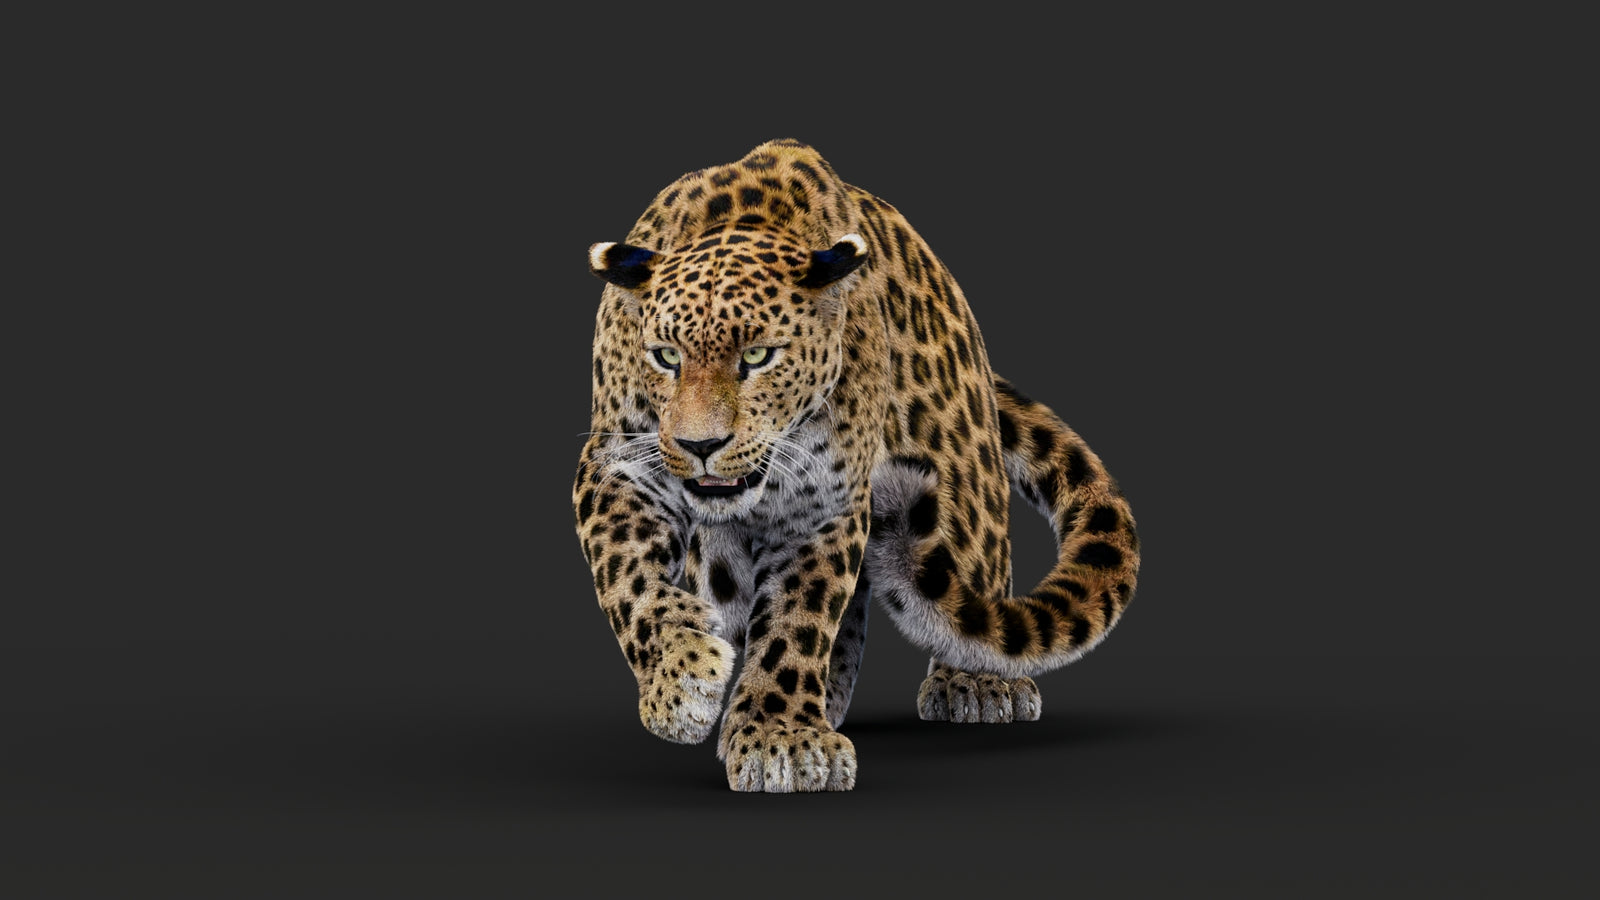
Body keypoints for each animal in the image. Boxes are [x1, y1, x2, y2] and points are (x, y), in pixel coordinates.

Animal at [574, 139, 1140, 792]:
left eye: (758, 356)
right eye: (666, 356)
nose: (700, 445)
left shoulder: (827, 504)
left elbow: (798, 617)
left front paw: (779, 738)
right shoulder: (619, 464)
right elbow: (629, 578)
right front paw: (682, 678)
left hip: (960, 473)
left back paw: (973, 684)